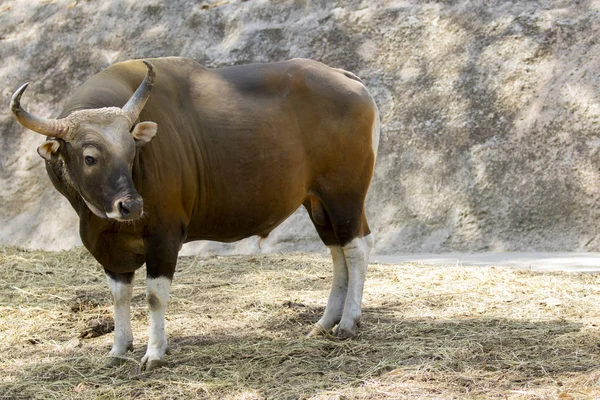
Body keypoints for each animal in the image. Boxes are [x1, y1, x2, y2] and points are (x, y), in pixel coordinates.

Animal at [9, 57, 380, 372]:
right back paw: (325, 322)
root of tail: (350, 80)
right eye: (90, 157)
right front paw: (118, 349)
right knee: (337, 254)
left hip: (345, 195)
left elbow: (154, 296)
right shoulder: (108, 248)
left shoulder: (165, 236)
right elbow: (119, 296)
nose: (131, 205)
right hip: (318, 202)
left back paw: (348, 323)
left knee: (357, 249)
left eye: (131, 152)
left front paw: (154, 352)